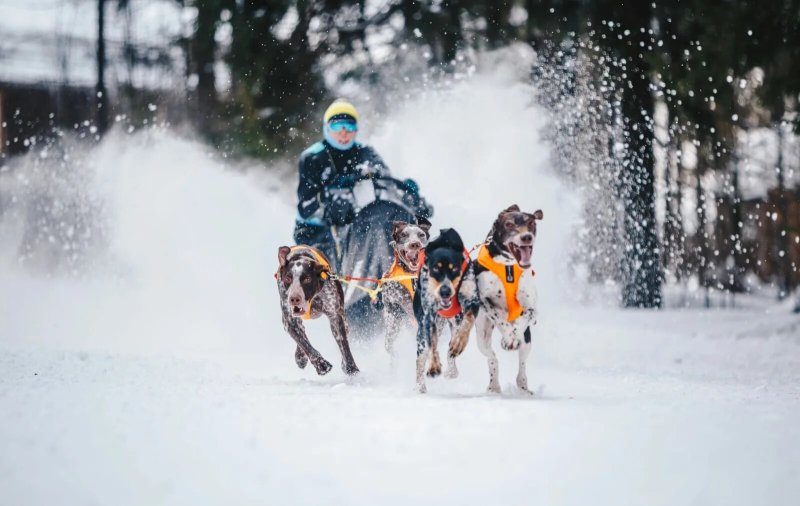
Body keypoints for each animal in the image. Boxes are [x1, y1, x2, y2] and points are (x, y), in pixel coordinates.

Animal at [278, 243, 360, 378]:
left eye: (307, 279)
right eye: (288, 278)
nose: (294, 299)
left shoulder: (335, 316)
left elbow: (343, 344)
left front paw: (351, 368)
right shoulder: (289, 321)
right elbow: (304, 344)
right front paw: (321, 365)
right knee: (301, 333)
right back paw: (300, 357)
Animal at [412, 227, 482, 394]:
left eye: (454, 268)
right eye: (435, 268)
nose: (445, 291)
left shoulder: (472, 302)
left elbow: (465, 325)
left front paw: (458, 344)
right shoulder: (429, 316)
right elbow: (432, 345)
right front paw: (433, 366)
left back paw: (451, 370)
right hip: (422, 330)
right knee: (421, 358)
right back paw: (420, 386)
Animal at [450, 204, 544, 394]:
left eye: (531, 223)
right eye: (509, 224)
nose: (526, 237)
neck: (508, 267)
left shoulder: (532, 309)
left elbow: (524, 317)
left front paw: (512, 336)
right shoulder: (484, 300)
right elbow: (500, 317)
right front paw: (508, 334)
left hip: (527, 342)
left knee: (522, 363)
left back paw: (523, 387)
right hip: (482, 337)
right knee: (492, 358)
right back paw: (494, 385)